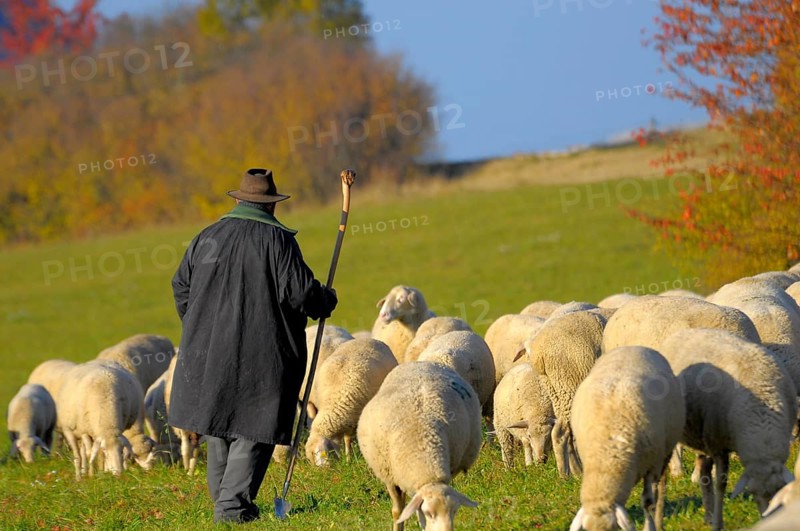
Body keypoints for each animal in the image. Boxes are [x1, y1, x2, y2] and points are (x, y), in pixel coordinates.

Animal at [569, 346, 684, 531]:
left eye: (613, 528)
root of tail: (634, 347)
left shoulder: (652, 465)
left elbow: (648, 502)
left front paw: (649, 527)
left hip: (665, 453)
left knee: (661, 487)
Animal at [659, 328, 797, 530]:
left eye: (778, 492)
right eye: (752, 493)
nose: (766, 519)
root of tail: (683, 332)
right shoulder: (719, 446)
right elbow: (721, 485)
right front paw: (718, 523)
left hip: (701, 435)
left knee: (704, 473)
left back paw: (707, 514)